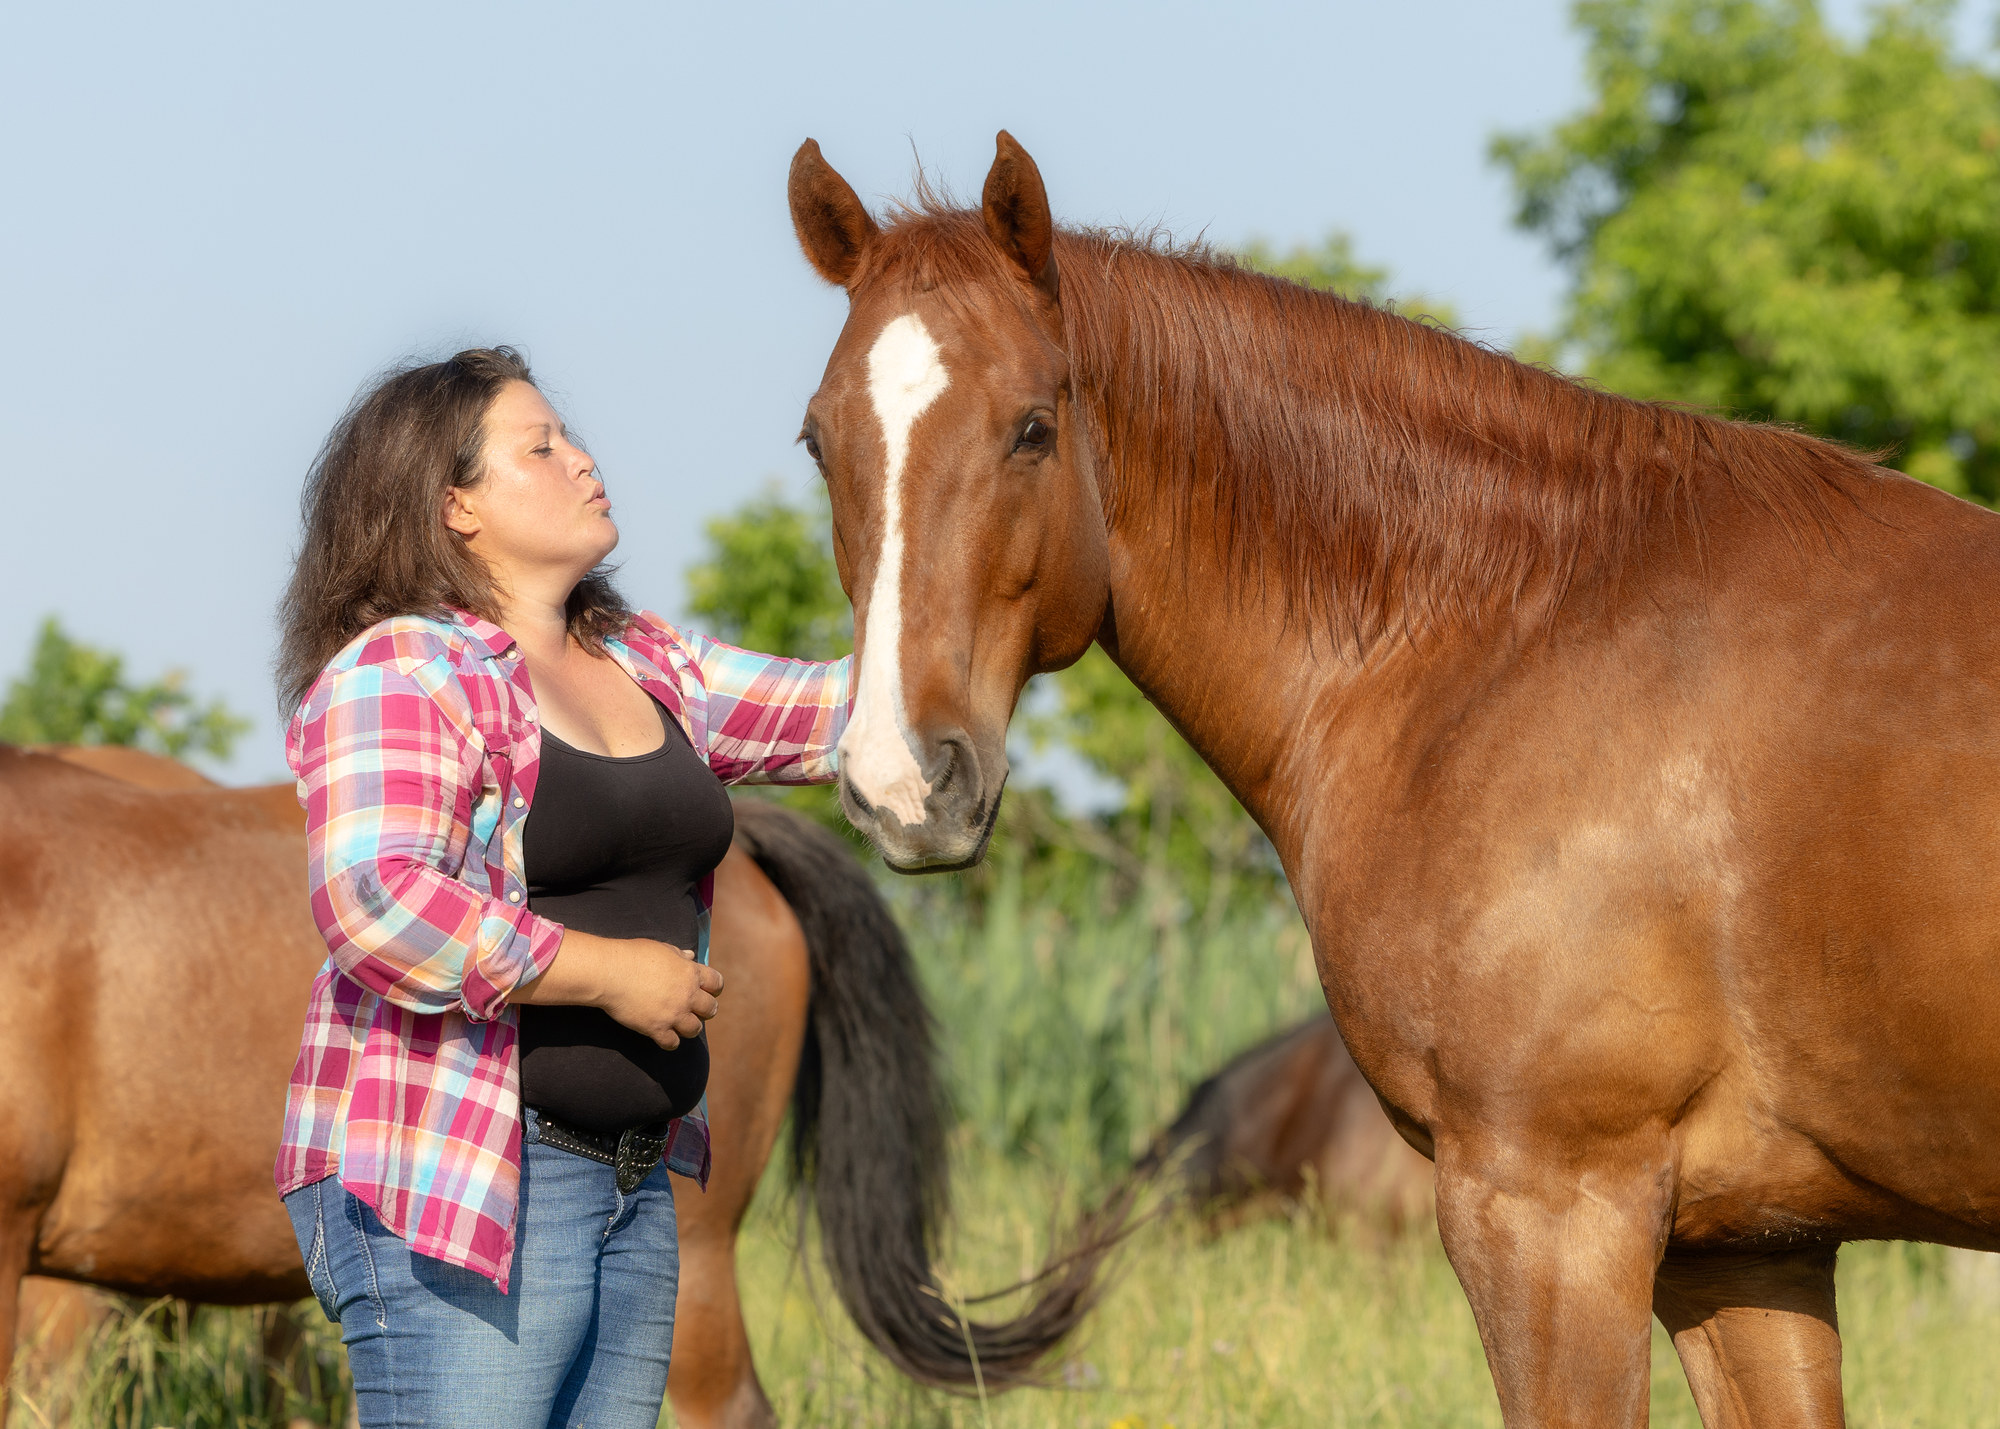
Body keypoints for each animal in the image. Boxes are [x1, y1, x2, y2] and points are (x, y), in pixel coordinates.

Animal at [783, 131, 2000, 1426]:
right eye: (819, 441)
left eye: (1028, 427)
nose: (902, 780)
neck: (1507, 629)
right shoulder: (1750, 1248)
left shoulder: (1549, 1205)